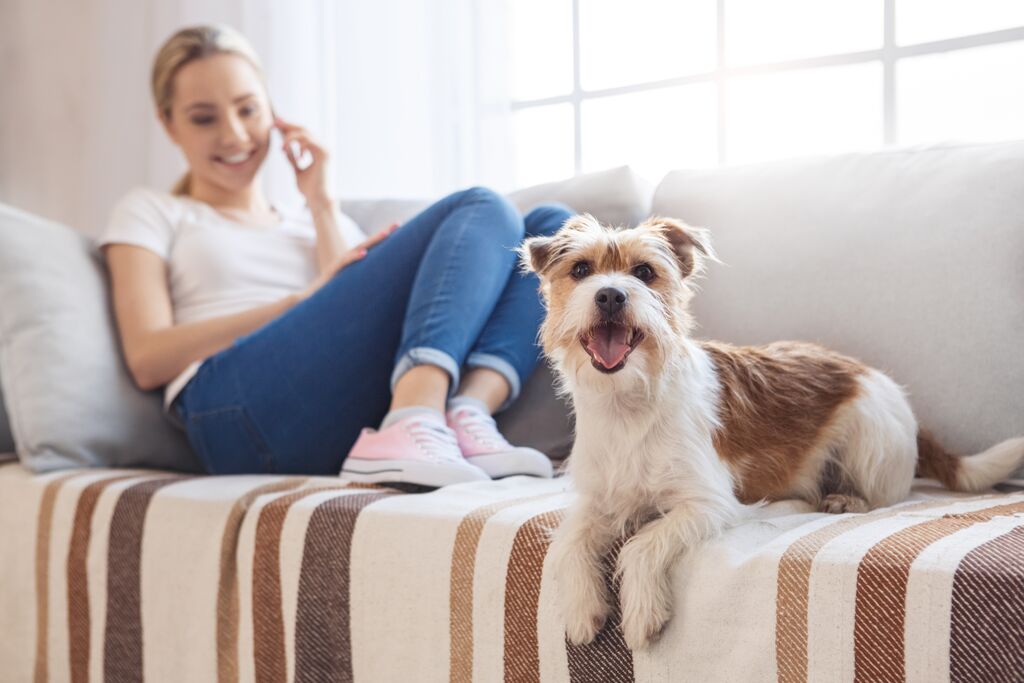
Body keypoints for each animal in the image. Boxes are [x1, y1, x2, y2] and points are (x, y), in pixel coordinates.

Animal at [520, 214, 1024, 651]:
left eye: (644, 272)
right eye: (581, 270)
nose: (610, 296)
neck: (627, 402)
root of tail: (873, 376)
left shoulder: (707, 502)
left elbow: (643, 544)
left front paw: (642, 611)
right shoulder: (597, 500)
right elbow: (568, 541)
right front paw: (582, 608)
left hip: (869, 438)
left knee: (883, 493)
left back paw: (845, 499)